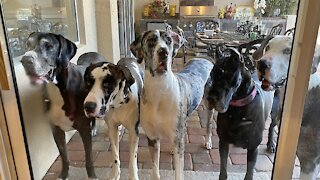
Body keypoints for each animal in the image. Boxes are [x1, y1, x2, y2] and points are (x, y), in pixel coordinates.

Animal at [130, 28, 212, 179]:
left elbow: (179, 173)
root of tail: (203, 58)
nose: (164, 52)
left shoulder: (177, 139)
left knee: (209, 124)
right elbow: (155, 170)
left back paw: (208, 142)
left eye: (168, 41)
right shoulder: (152, 138)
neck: (159, 89)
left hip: (212, 104)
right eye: (151, 40)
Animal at [252, 35, 320, 180]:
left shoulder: (310, 163)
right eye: (268, 47)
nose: (261, 64)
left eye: (288, 51)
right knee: (272, 125)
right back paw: (271, 144)